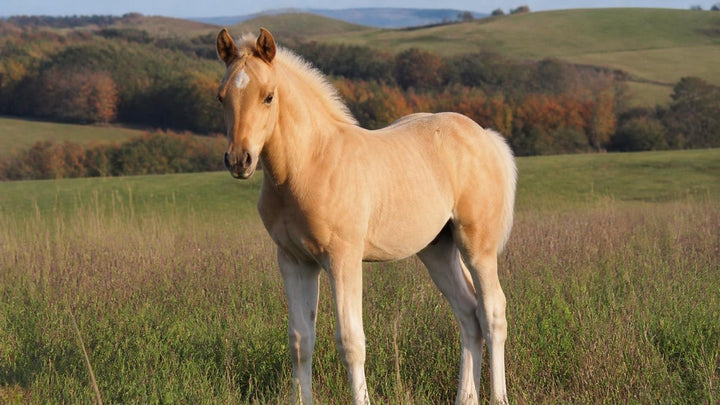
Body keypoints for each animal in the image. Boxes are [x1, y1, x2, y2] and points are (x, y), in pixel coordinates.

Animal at [215, 28, 517, 405]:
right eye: (221, 98)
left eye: (268, 97)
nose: (239, 160)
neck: (309, 164)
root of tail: (485, 136)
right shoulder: (294, 261)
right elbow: (300, 341)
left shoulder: (343, 258)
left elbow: (351, 342)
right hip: (437, 248)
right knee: (467, 314)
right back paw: (465, 397)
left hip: (477, 245)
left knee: (492, 313)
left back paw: (498, 397)